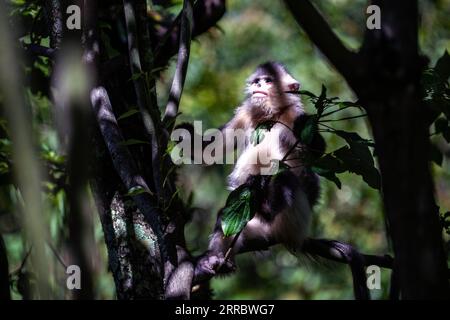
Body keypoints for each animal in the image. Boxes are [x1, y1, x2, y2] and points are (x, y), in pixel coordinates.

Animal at [192, 61, 324, 282]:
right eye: (257, 81)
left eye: (268, 81)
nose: (259, 85)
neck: (270, 115)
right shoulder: (244, 114)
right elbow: (209, 150)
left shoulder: (294, 115)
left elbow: (316, 158)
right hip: (252, 225)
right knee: (225, 216)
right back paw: (215, 261)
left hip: (294, 221)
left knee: (285, 175)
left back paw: (266, 203)